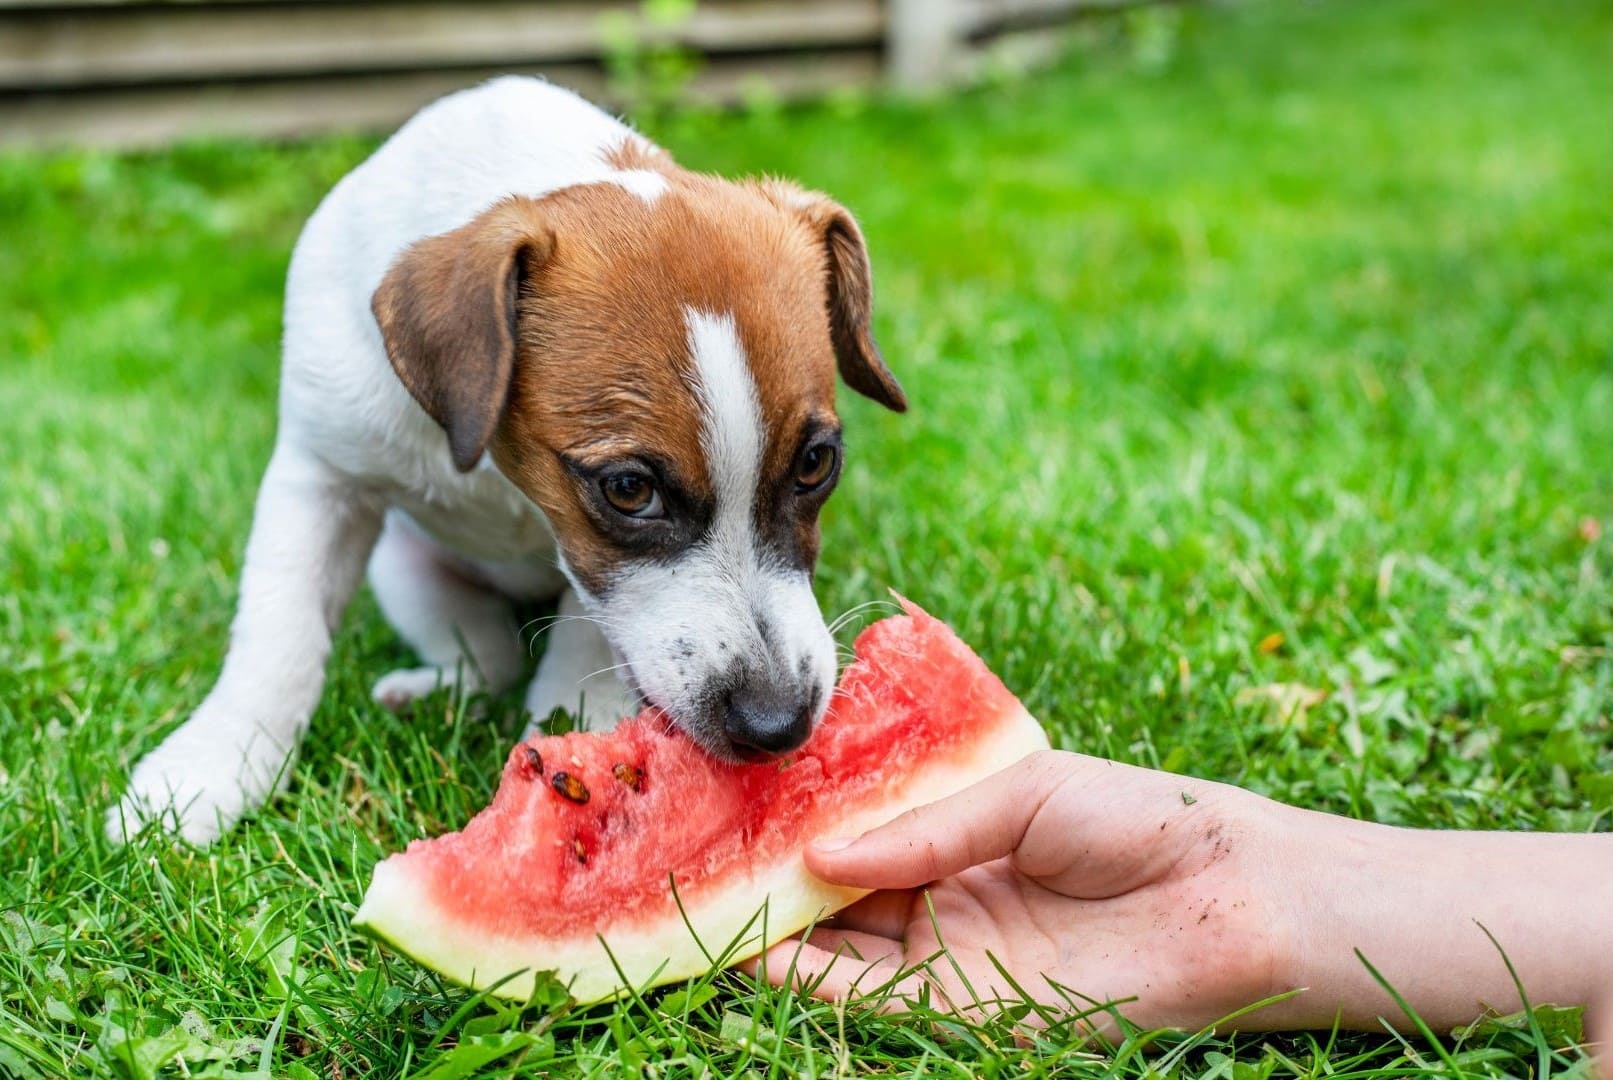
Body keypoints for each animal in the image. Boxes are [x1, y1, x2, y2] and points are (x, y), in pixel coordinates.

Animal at [107, 80, 903, 851]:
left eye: (815, 463)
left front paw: (575, 743)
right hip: (401, 564)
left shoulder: (584, 570)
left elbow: (583, 642)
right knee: (485, 658)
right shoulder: (318, 475)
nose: (778, 725)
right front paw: (210, 769)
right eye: (629, 489)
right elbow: (279, 634)